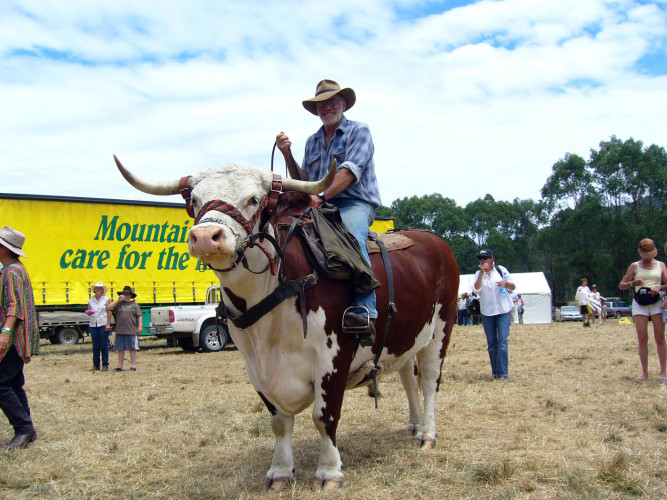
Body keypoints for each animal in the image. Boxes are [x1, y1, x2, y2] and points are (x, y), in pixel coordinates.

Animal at [115, 155, 460, 488]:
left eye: (254, 199)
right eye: (195, 201)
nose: (205, 237)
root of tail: (434, 241)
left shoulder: (332, 360)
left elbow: (324, 416)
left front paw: (329, 472)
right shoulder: (256, 367)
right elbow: (279, 422)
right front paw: (280, 471)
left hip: (441, 330)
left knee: (429, 381)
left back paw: (427, 434)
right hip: (406, 339)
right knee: (408, 379)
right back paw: (414, 425)